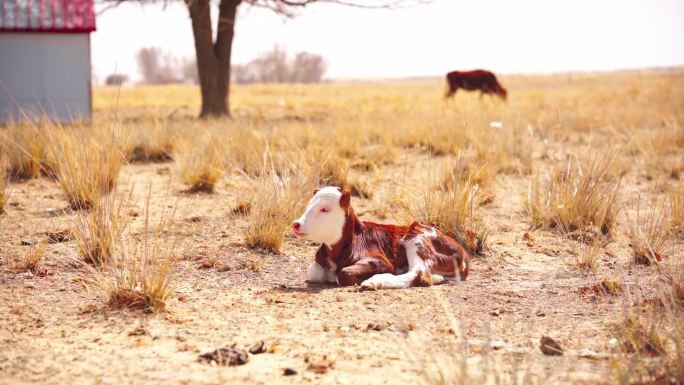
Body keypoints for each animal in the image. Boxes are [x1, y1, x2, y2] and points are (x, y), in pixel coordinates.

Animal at [288, 186, 470, 288]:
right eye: (308, 206)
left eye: (325, 209)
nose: (296, 224)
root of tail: (463, 252)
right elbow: (314, 271)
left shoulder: (380, 260)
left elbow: (344, 274)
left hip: (417, 239)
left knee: (418, 274)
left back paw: (374, 281)